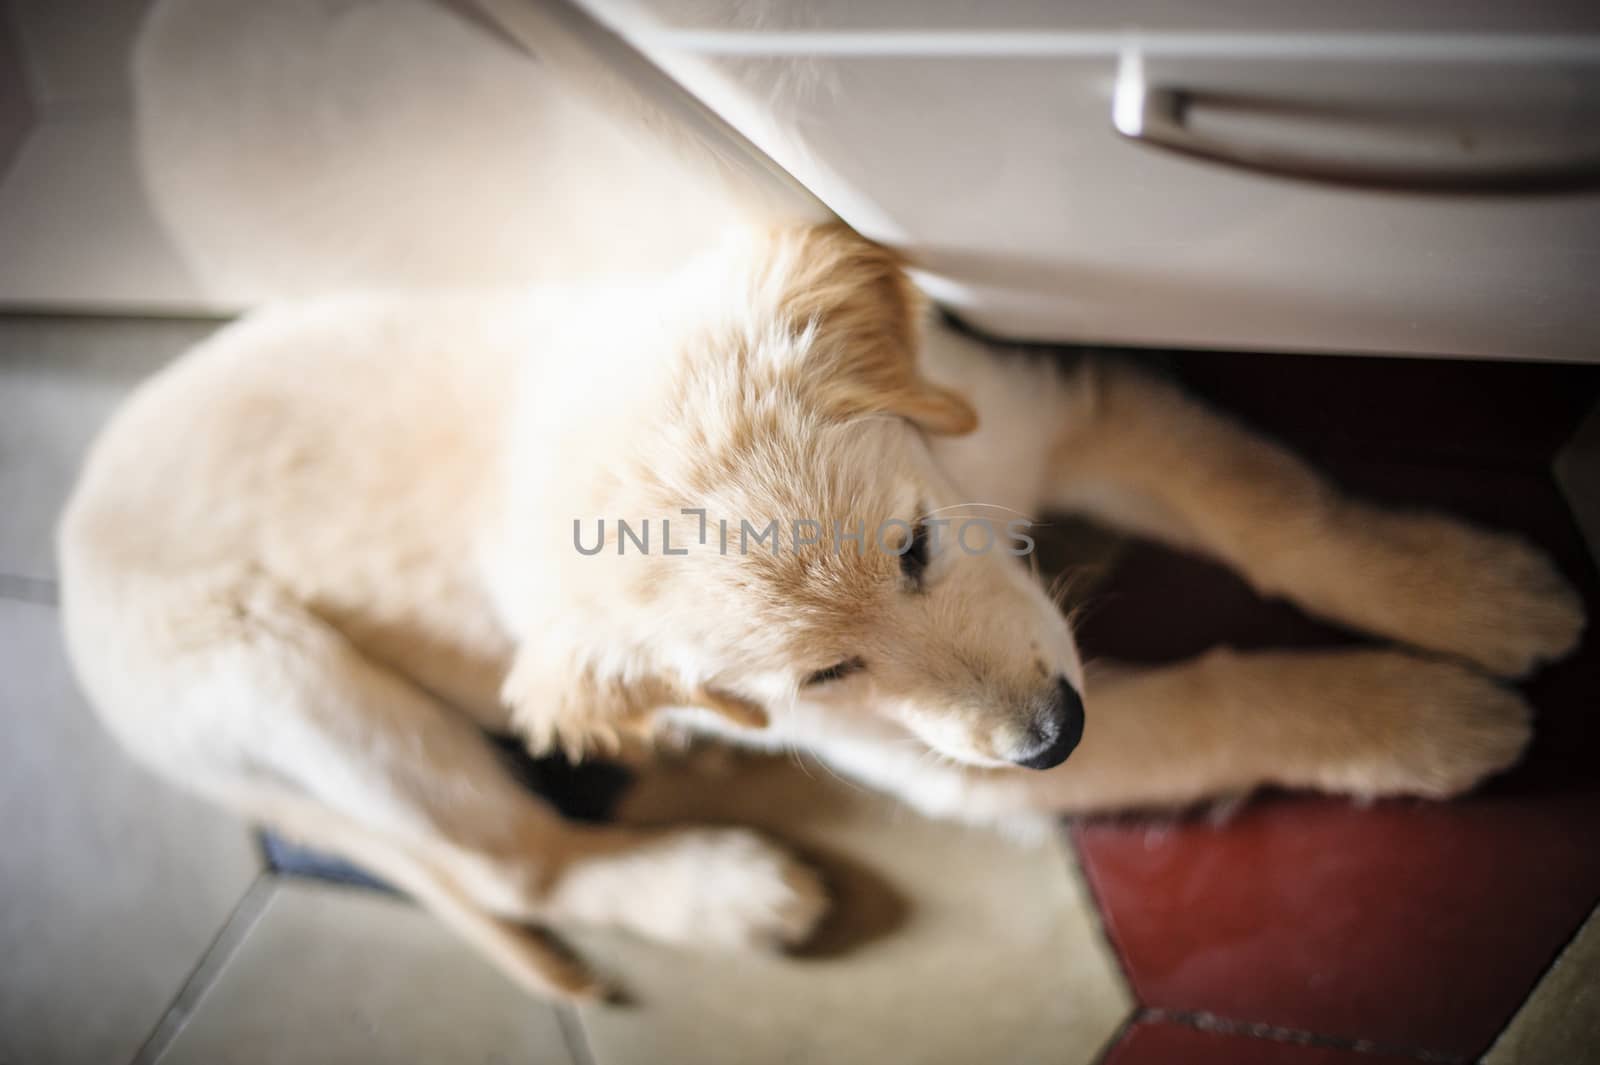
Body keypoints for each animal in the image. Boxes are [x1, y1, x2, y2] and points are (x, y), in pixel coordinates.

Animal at [56, 222, 1580, 997]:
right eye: (828, 676)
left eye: (912, 548)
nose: (1052, 734)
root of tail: (64, 561)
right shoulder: (945, 762)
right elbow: (1220, 702)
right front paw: (1416, 715)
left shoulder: (1056, 407)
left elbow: (1279, 508)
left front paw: (1466, 589)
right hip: (291, 690)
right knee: (513, 865)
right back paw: (723, 888)